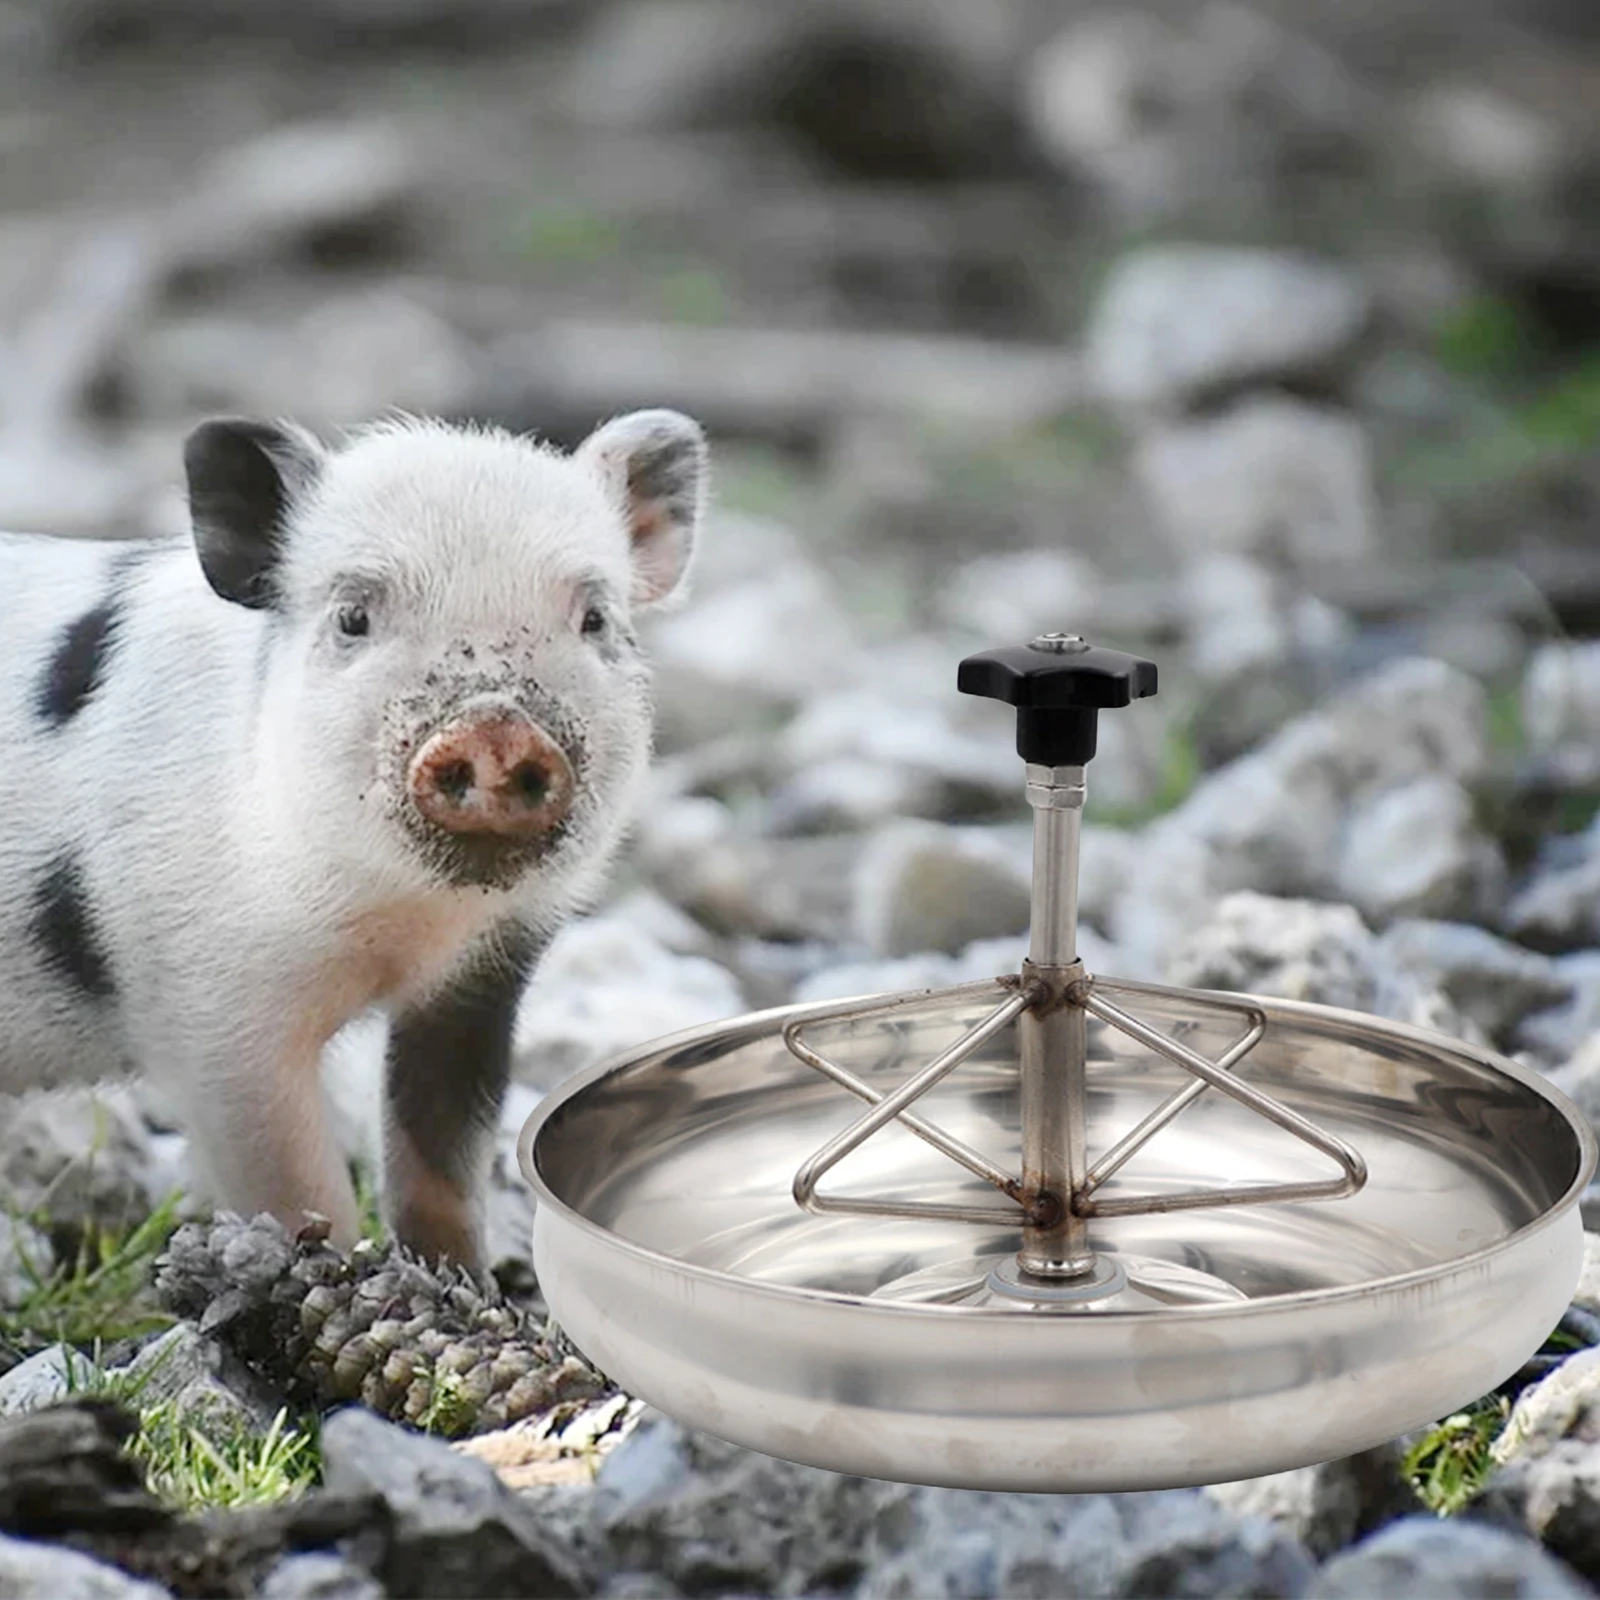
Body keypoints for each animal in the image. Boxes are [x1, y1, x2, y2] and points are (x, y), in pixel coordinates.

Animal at [0, 408, 707, 1269]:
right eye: (353, 618)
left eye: (595, 618)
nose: (495, 723)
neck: (403, 923)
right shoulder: (208, 1006)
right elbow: (298, 1180)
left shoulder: (486, 973)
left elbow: (441, 1155)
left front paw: (463, 1280)